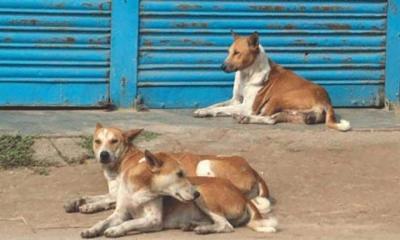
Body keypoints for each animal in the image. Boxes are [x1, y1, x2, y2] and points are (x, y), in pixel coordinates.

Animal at [65, 124, 272, 215]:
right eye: (97, 141)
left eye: (114, 141)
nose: (104, 155)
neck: (123, 160)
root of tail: (252, 169)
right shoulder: (116, 191)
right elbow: (96, 196)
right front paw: (78, 201)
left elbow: (104, 200)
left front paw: (90, 206)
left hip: (204, 163)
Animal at [79, 149, 276, 237]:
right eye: (180, 174)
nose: (195, 194)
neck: (139, 189)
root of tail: (242, 196)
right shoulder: (120, 213)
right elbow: (103, 221)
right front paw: (92, 229)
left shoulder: (154, 220)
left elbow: (129, 223)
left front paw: (115, 230)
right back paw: (193, 224)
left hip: (205, 194)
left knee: (225, 225)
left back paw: (203, 229)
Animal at [193, 31, 350, 132]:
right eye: (228, 52)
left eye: (237, 53)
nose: (222, 67)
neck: (247, 74)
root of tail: (326, 101)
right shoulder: (236, 100)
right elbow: (216, 105)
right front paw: (203, 110)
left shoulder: (247, 106)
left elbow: (220, 108)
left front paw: (208, 111)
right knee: (270, 119)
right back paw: (244, 118)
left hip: (277, 98)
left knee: (264, 116)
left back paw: (244, 117)